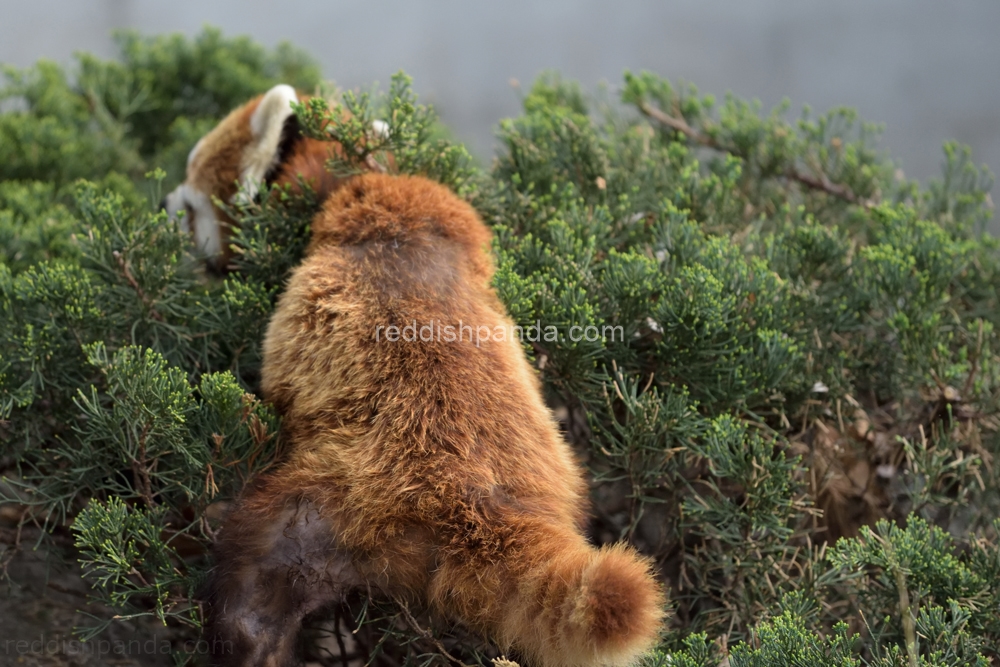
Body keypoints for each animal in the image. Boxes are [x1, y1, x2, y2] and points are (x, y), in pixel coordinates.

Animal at [166, 85, 664, 667]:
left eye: (189, 205)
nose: (163, 204)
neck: (348, 178)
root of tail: (472, 505)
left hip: (329, 501)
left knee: (249, 588)